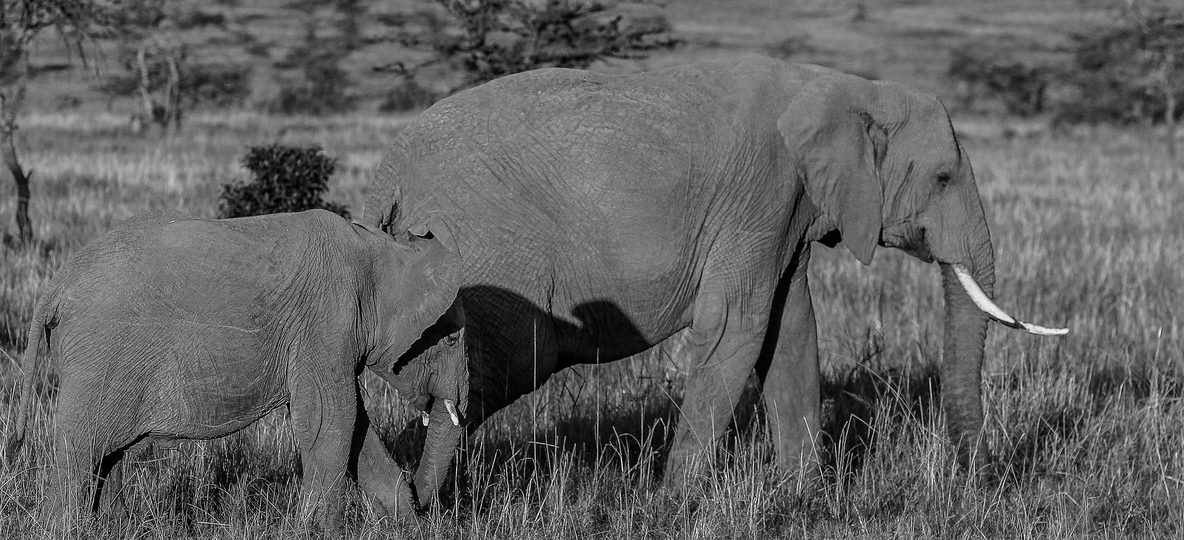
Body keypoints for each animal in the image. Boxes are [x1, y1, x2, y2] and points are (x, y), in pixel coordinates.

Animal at [4, 209, 468, 531]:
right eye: (449, 340)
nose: (426, 506)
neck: (381, 250)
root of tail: (56, 284)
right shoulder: (327, 322)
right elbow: (331, 420)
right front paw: (320, 531)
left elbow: (354, 429)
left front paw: (405, 524)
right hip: (101, 356)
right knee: (82, 450)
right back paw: (61, 527)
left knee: (108, 453)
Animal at [363, 55, 1067, 496]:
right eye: (943, 178)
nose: (983, 481)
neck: (845, 86)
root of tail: (388, 175)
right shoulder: (761, 195)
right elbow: (738, 330)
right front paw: (672, 507)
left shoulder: (788, 210)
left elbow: (790, 331)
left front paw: (803, 500)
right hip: (485, 254)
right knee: (485, 372)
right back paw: (415, 503)